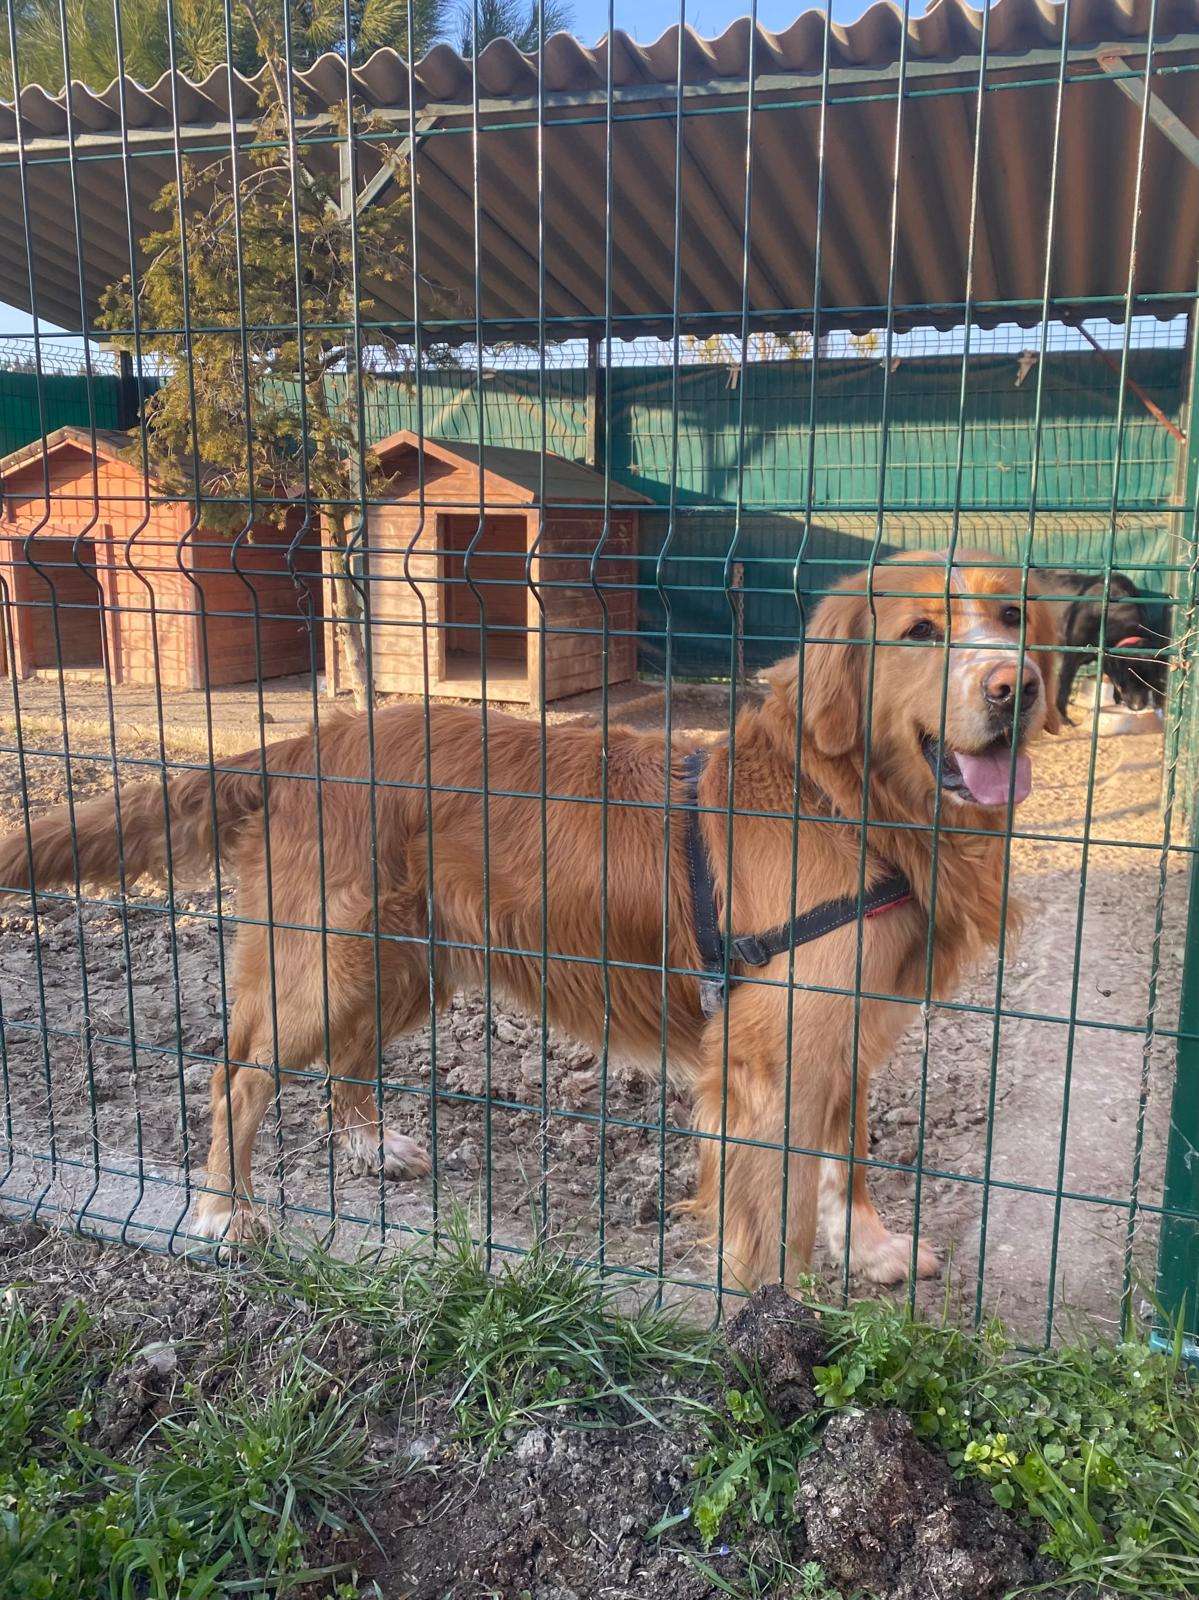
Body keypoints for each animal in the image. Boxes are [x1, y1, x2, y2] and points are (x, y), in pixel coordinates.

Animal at [4, 550, 1062, 1286]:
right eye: (919, 632)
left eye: (1011, 615)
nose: (1015, 686)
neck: (846, 803)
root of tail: (315, 738)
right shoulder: (770, 1054)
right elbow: (779, 1217)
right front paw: (779, 1322)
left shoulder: (846, 1032)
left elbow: (847, 1161)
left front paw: (871, 1250)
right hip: (328, 965)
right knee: (237, 1078)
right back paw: (224, 1212)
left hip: (405, 961)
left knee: (347, 1056)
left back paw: (367, 1144)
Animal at [1037, 569, 1171, 726]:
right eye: (1126, 678)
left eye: (1148, 679)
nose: (1137, 707)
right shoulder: (1071, 657)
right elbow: (1064, 688)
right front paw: (1064, 719)